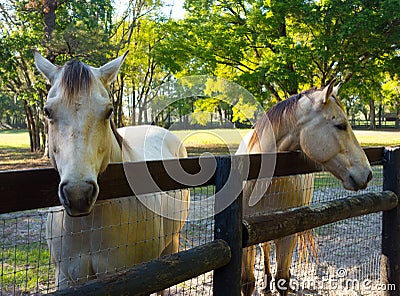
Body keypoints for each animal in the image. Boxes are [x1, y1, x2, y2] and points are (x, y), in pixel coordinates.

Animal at [236, 80, 374, 294]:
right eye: (341, 125)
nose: (367, 174)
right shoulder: (246, 239)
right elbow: (248, 281)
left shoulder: (288, 234)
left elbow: (282, 279)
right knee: (265, 247)